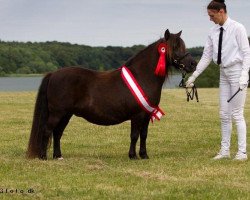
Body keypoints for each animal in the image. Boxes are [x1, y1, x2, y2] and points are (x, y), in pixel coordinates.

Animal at [26, 29, 195, 159]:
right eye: (174, 47)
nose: (193, 64)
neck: (142, 76)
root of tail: (53, 74)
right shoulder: (137, 115)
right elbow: (134, 135)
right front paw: (133, 156)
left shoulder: (147, 114)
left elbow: (144, 134)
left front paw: (144, 155)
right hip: (57, 113)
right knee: (47, 131)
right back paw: (43, 157)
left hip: (66, 114)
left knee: (57, 133)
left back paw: (58, 156)